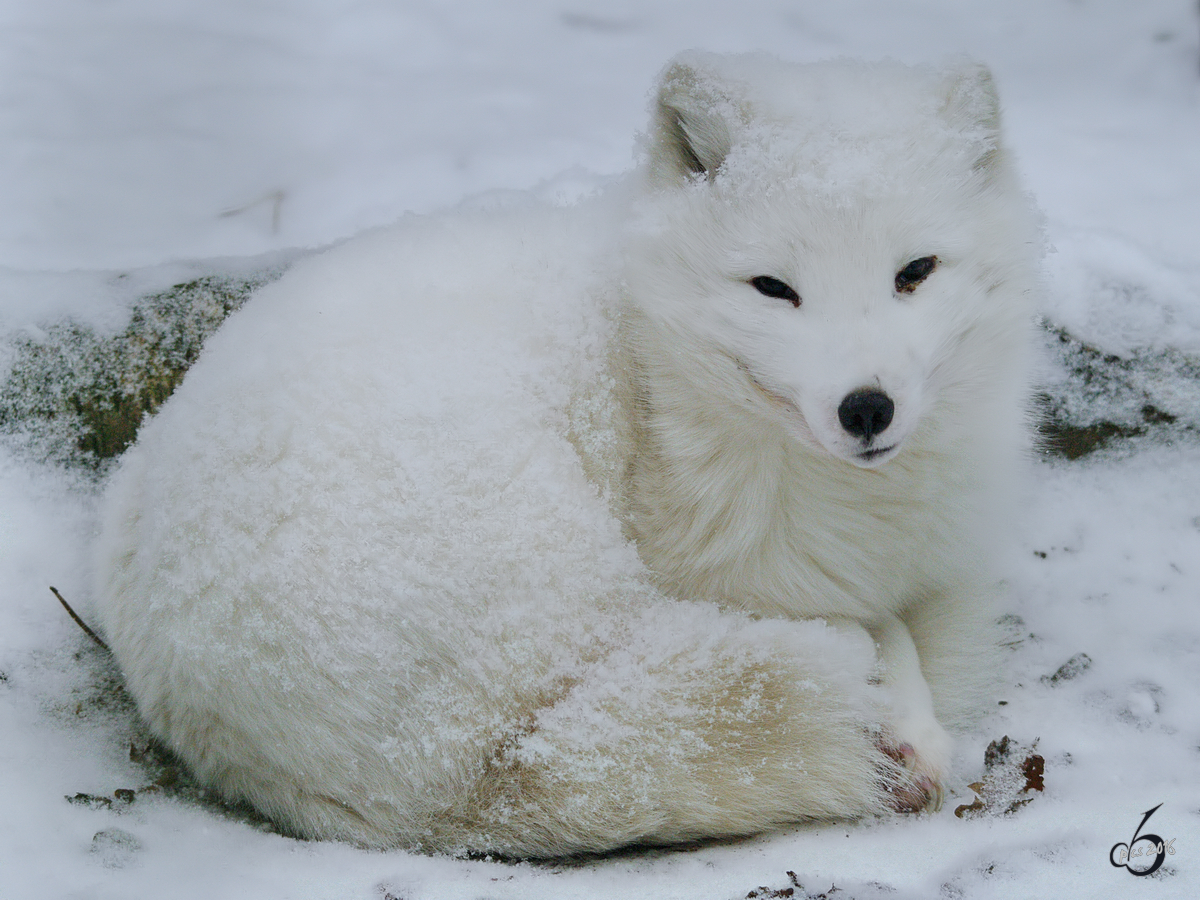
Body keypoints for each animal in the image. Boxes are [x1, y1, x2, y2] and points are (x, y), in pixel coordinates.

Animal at [93, 52, 1036, 854]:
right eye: (774, 288)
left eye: (916, 271)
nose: (866, 407)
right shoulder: (722, 569)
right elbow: (878, 626)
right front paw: (905, 730)